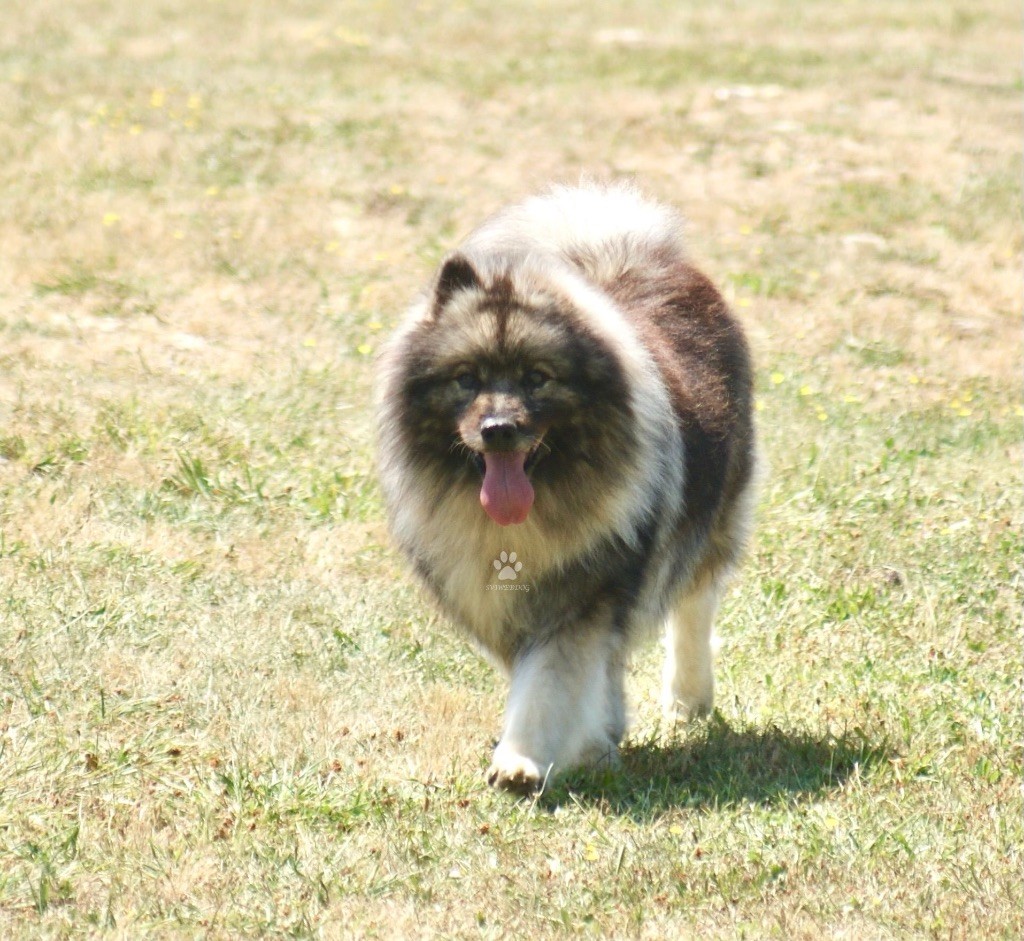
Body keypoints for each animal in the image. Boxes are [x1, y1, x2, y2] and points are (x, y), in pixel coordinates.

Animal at [374, 184, 753, 794]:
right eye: (467, 379)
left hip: (714, 513)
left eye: (537, 378)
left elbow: (550, 683)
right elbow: (566, 677)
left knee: (694, 604)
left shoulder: (581, 596)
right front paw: (586, 744)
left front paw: (521, 761)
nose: (498, 429)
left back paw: (687, 701)